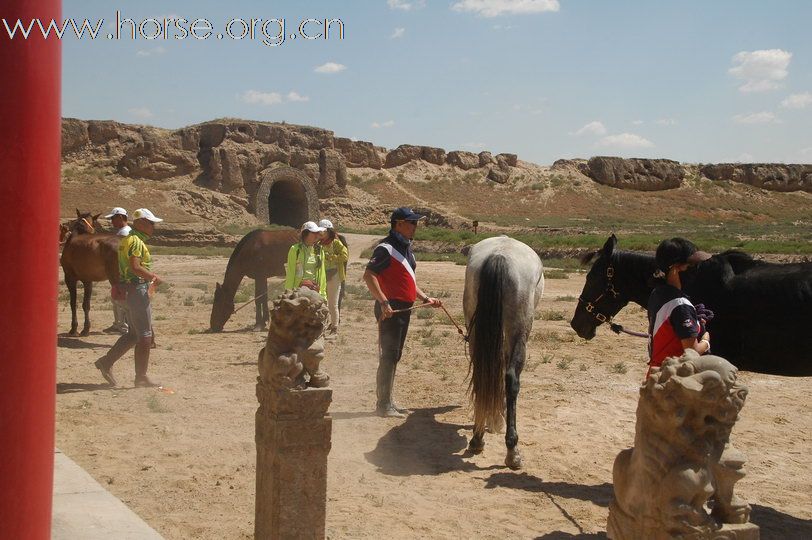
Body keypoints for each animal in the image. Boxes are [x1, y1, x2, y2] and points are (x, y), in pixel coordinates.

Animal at [464, 236, 544, 468]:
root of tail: (499, 255)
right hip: (519, 330)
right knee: (511, 380)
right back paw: (512, 451)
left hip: (476, 329)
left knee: (481, 375)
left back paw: (477, 438)